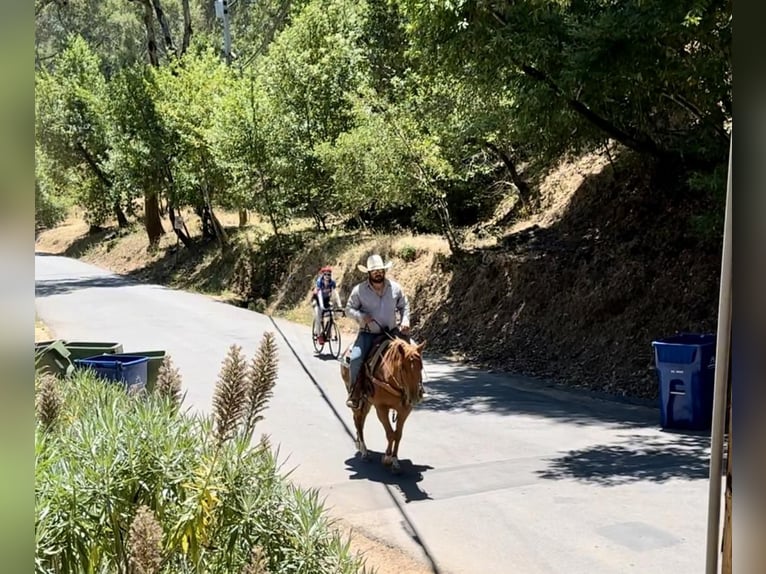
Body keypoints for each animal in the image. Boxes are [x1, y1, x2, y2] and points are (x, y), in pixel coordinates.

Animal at [340, 336, 426, 474]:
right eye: (402, 367)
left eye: (421, 367)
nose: (414, 398)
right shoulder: (381, 408)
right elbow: (390, 433)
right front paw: (387, 458)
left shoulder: (404, 410)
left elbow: (397, 435)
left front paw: (395, 461)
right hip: (356, 397)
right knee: (358, 420)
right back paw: (364, 451)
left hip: (367, 402)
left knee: (361, 420)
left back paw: (359, 444)